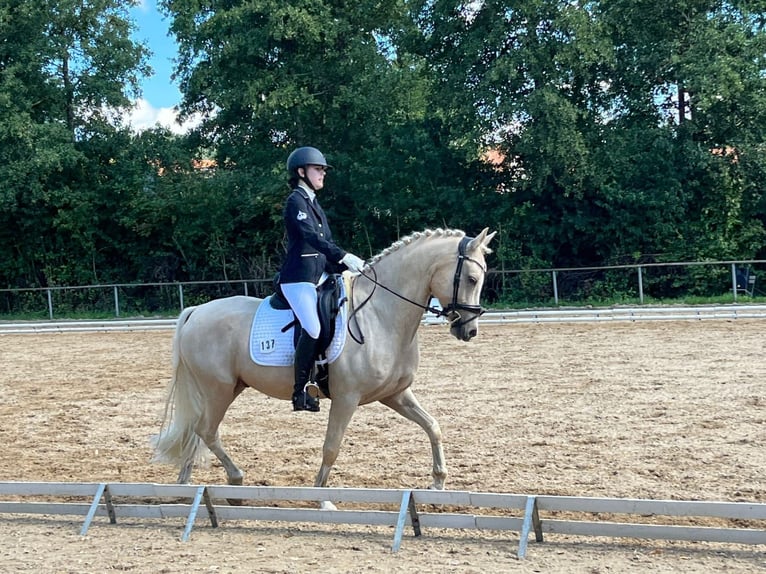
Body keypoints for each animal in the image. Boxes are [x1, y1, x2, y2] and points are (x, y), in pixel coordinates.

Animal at [153, 227, 498, 498]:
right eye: (471, 278)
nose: (469, 330)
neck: (381, 315)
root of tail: (196, 311)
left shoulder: (394, 394)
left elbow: (433, 426)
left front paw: (438, 482)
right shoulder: (347, 398)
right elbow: (332, 446)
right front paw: (322, 498)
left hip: (227, 388)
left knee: (196, 431)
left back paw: (185, 485)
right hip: (219, 389)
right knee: (206, 430)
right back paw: (235, 480)